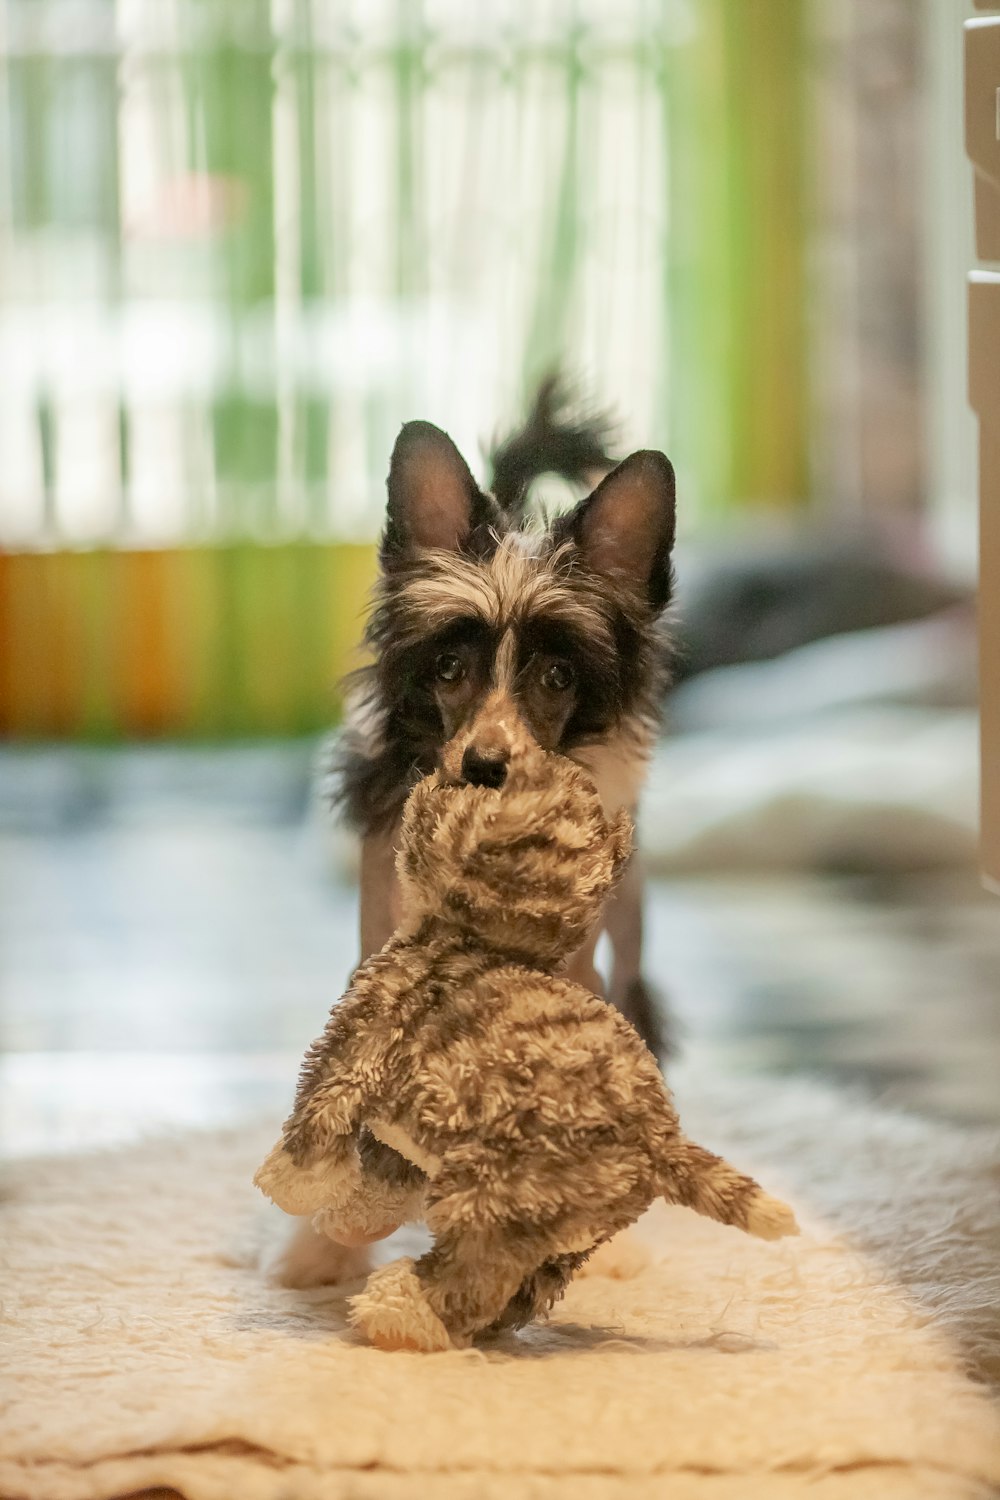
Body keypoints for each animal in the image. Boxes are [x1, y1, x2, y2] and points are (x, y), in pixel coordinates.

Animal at [271, 384, 680, 1290]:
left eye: (557, 677)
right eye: (449, 668)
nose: (486, 765)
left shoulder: (574, 977)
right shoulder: (378, 957)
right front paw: (322, 1248)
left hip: (631, 929)